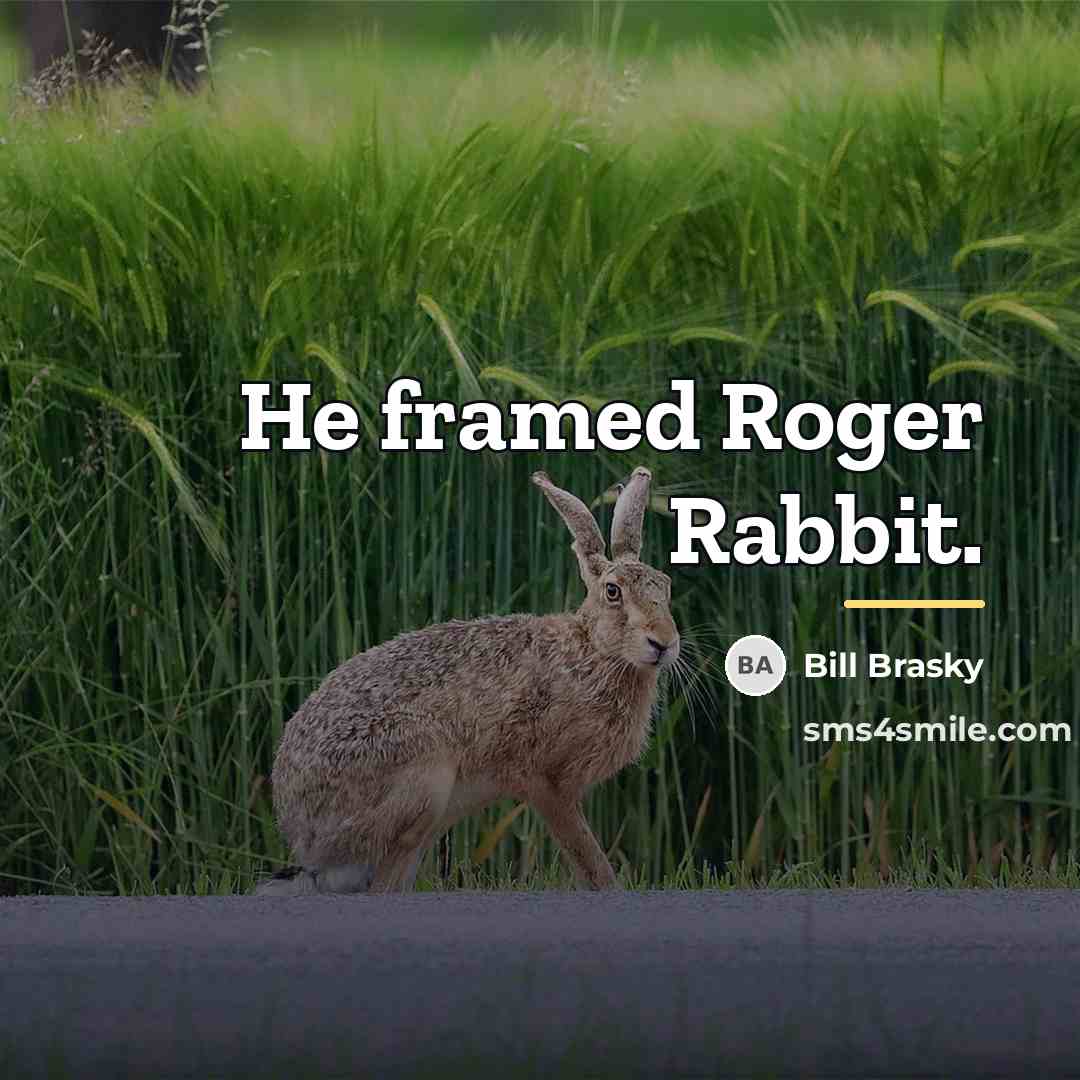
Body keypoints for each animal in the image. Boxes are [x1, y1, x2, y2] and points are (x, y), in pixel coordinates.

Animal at [255, 465, 679, 895]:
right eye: (613, 592)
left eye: (664, 585)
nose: (664, 643)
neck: (593, 651)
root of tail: (302, 835)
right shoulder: (546, 781)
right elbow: (588, 857)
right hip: (422, 783)